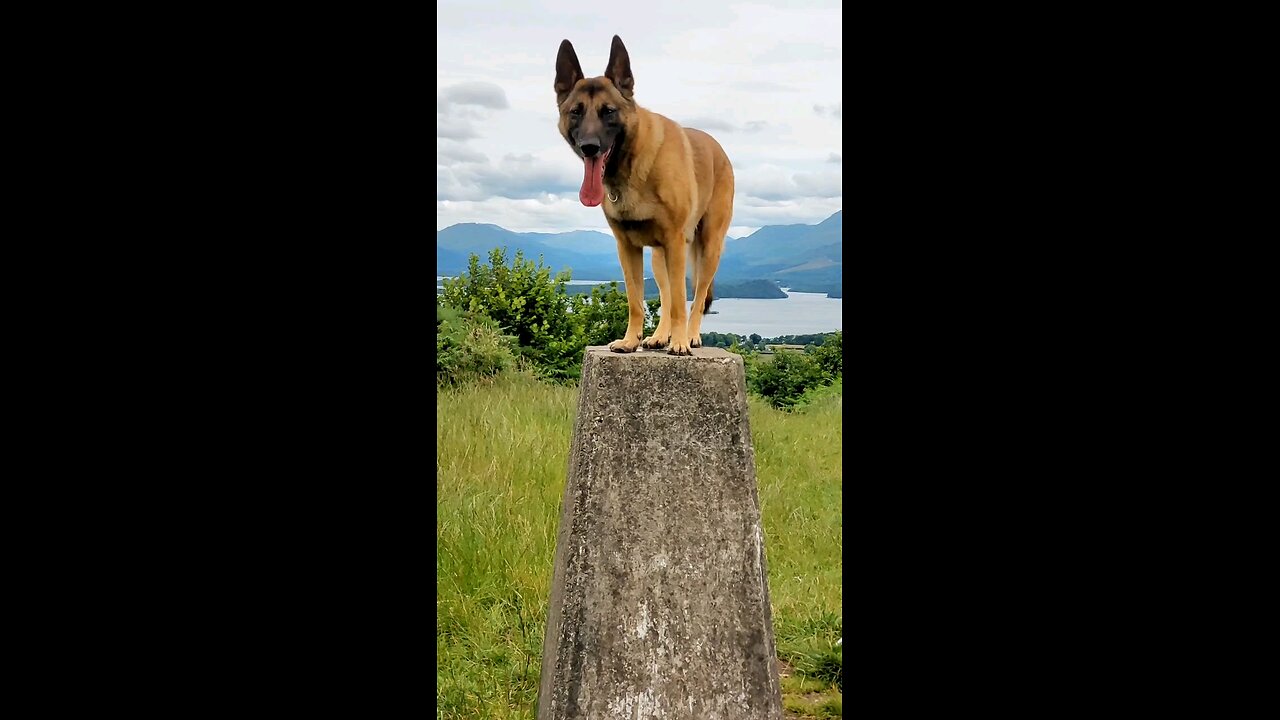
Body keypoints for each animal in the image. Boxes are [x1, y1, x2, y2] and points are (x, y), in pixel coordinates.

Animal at [555, 35, 737, 353]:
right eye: (576, 111)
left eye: (608, 111)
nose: (589, 147)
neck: (632, 168)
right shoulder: (627, 248)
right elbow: (637, 301)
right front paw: (631, 341)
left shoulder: (675, 242)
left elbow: (680, 301)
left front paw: (679, 343)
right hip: (658, 257)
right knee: (666, 294)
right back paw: (660, 336)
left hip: (708, 249)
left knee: (696, 296)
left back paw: (689, 335)